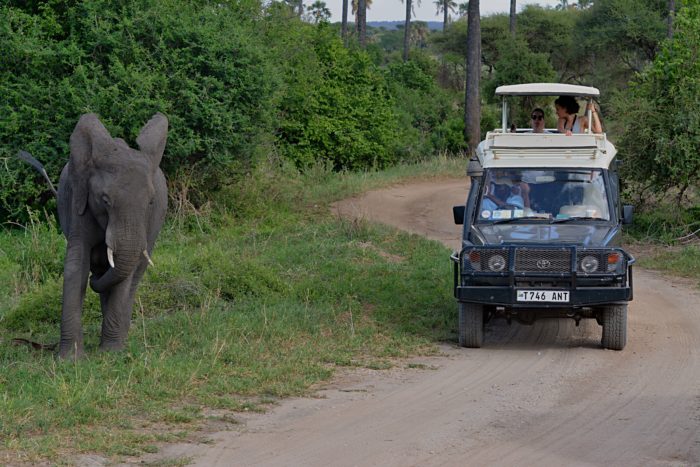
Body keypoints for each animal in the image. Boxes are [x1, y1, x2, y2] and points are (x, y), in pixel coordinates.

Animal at [56, 112, 168, 358]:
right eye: (105, 200)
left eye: (151, 202)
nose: (93, 281)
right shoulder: (79, 202)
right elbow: (76, 264)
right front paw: (69, 359)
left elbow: (126, 272)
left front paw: (111, 353)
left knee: (134, 276)